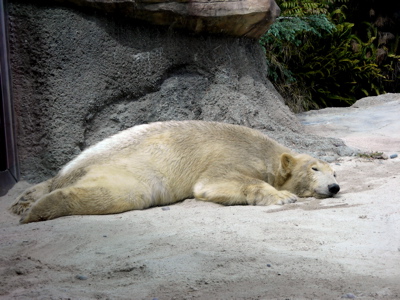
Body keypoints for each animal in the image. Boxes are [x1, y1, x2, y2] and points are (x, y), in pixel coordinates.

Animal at [10, 120, 340, 224]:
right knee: (125, 193)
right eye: (314, 168)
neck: (268, 154)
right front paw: (283, 197)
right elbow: (216, 181)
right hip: (131, 167)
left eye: (335, 173)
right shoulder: (233, 155)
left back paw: (26, 200)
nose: (334, 188)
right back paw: (39, 209)